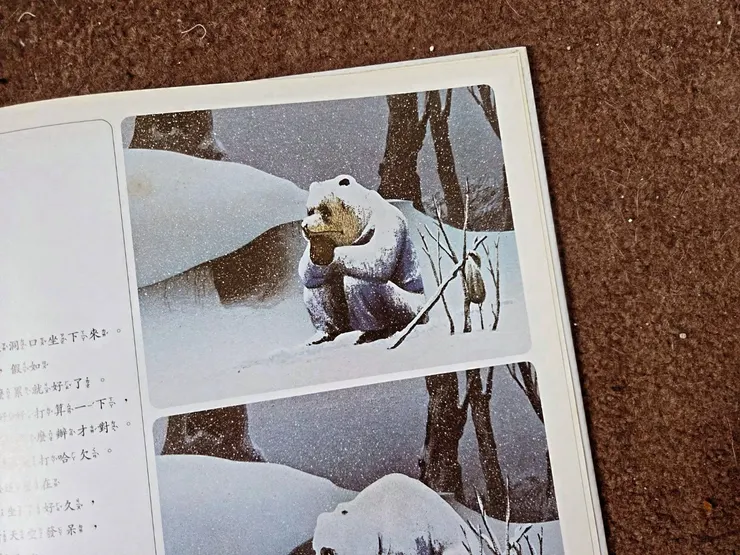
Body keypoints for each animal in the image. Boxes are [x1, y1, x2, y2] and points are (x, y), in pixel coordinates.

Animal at [298, 174, 427, 346]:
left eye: (325, 211)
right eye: (310, 211)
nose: (305, 226)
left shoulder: (386, 220)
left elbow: (378, 260)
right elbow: (306, 270)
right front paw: (319, 249)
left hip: (410, 306)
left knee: (362, 284)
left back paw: (375, 332)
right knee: (318, 286)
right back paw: (328, 333)